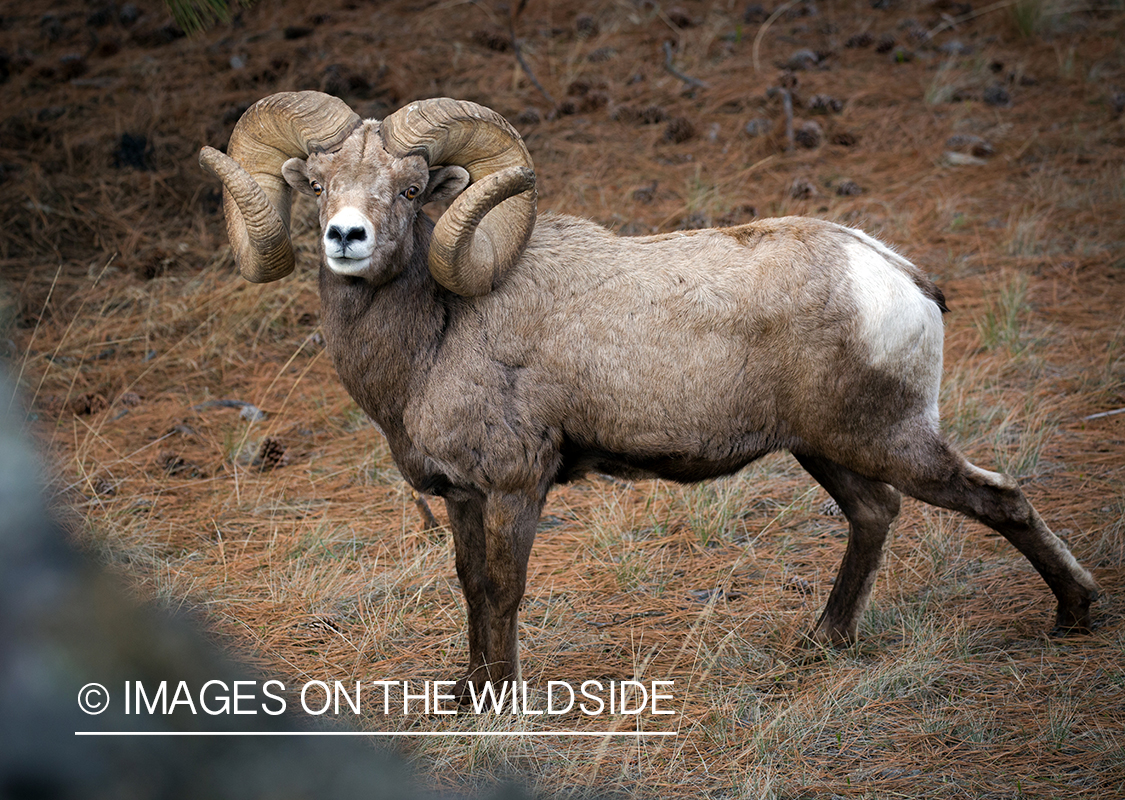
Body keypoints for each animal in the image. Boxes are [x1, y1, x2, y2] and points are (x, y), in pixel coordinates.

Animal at [200, 92, 1099, 700]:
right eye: (319, 184)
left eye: (413, 187)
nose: (344, 238)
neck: (437, 335)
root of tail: (895, 275)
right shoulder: (460, 496)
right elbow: (470, 588)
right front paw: (465, 693)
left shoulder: (515, 487)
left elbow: (502, 589)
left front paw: (498, 698)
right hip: (827, 450)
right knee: (875, 516)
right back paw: (822, 643)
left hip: (890, 440)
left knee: (1000, 499)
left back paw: (1074, 614)